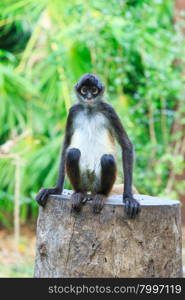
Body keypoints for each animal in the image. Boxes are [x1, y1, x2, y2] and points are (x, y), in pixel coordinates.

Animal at [36, 73, 140, 218]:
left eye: (94, 90)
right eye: (84, 90)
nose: (89, 97)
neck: (90, 110)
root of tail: (90, 190)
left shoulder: (109, 110)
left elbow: (126, 145)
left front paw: (128, 197)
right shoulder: (73, 111)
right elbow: (66, 146)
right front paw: (56, 189)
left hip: (97, 182)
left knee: (107, 159)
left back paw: (101, 195)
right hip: (84, 180)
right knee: (73, 153)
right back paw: (79, 194)